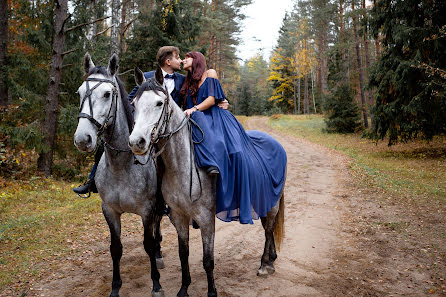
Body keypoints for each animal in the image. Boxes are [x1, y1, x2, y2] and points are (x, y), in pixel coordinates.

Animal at [75, 53, 166, 296]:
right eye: (79, 92)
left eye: (107, 94)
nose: (82, 139)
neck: (121, 165)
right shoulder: (110, 210)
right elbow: (115, 248)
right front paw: (115, 287)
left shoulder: (146, 210)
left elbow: (147, 243)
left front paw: (156, 284)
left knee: (158, 226)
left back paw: (158, 253)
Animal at [128, 70, 286, 296]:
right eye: (134, 103)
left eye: (159, 103)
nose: (136, 142)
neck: (182, 165)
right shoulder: (179, 216)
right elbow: (183, 254)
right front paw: (183, 289)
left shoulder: (205, 218)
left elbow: (208, 260)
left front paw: (212, 291)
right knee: (269, 228)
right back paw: (271, 260)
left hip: (272, 203)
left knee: (268, 229)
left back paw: (264, 265)